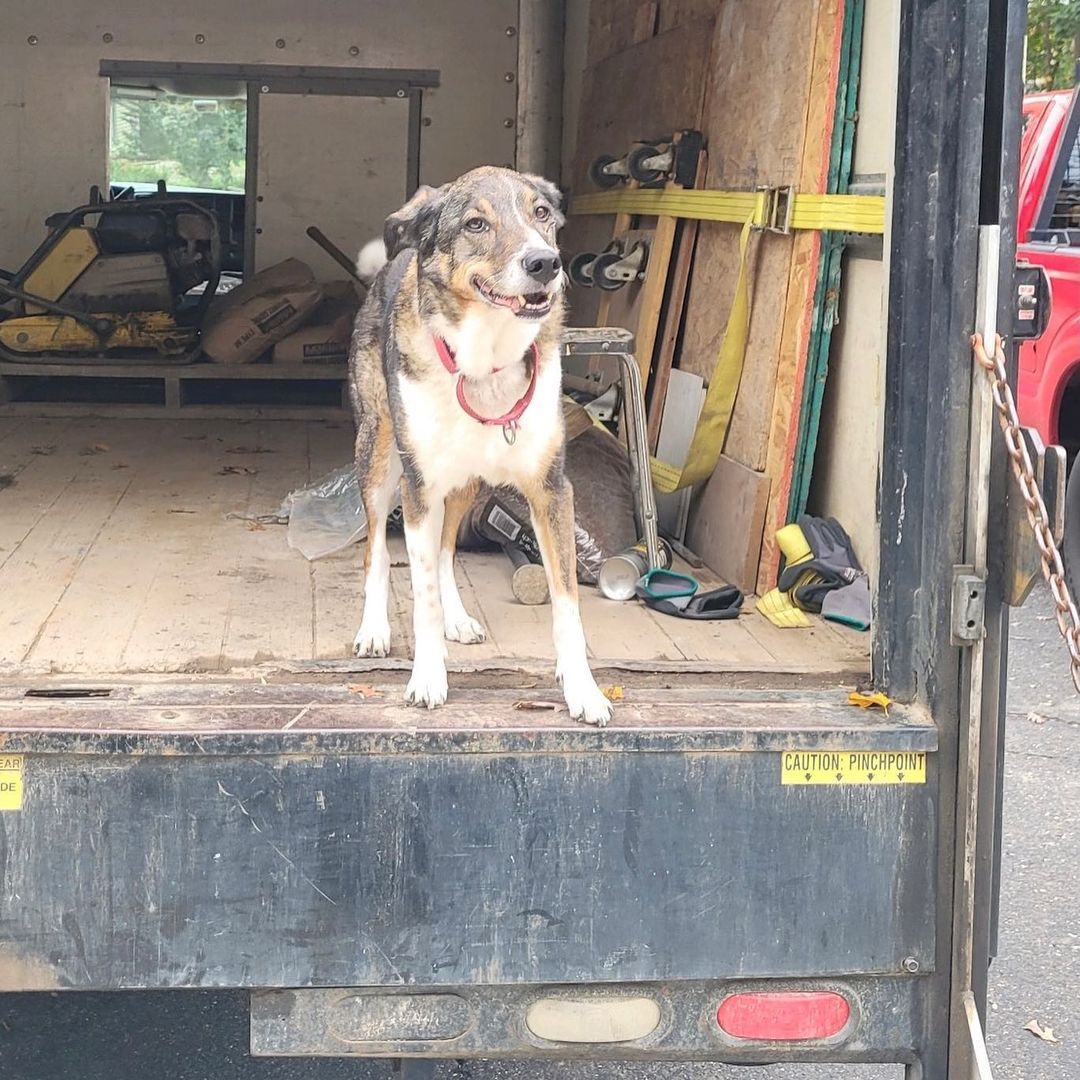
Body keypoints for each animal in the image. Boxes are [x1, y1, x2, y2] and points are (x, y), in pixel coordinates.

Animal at [349, 166, 613, 725]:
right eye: (475, 224)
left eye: (542, 214)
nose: (545, 263)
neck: (486, 361)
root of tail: (394, 260)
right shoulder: (420, 488)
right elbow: (421, 592)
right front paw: (428, 677)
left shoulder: (551, 491)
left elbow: (567, 602)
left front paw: (582, 690)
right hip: (378, 456)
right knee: (377, 551)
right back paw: (374, 629)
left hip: (468, 483)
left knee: (447, 550)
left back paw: (458, 617)